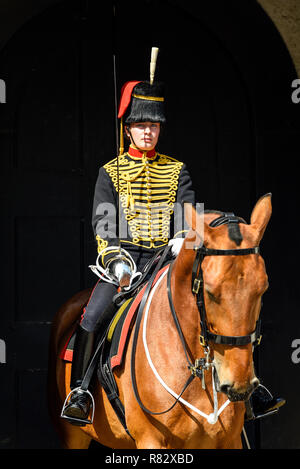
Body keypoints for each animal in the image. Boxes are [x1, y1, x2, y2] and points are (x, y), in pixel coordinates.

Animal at [47, 192, 272, 448]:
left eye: (262, 289)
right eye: (210, 292)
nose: (238, 384)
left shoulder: (230, 440)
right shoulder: (151, 439)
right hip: (73, 435)